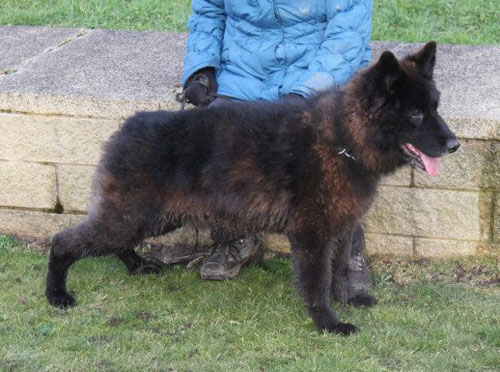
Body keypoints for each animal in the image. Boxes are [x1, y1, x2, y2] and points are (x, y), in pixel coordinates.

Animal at [47, 42, 460, 334]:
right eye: (416, 113)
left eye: (436, 107)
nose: (456, 145)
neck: (343, 139)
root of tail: (124, 129)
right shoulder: (312, 236)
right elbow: (318, 283)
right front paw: (328, 323)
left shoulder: (340, 230)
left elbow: (341, 270)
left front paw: (348, 300)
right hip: (134, 217)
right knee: (63, 242)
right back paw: (56, 295)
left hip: (152, 218)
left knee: (116, 244)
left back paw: (137, 265)